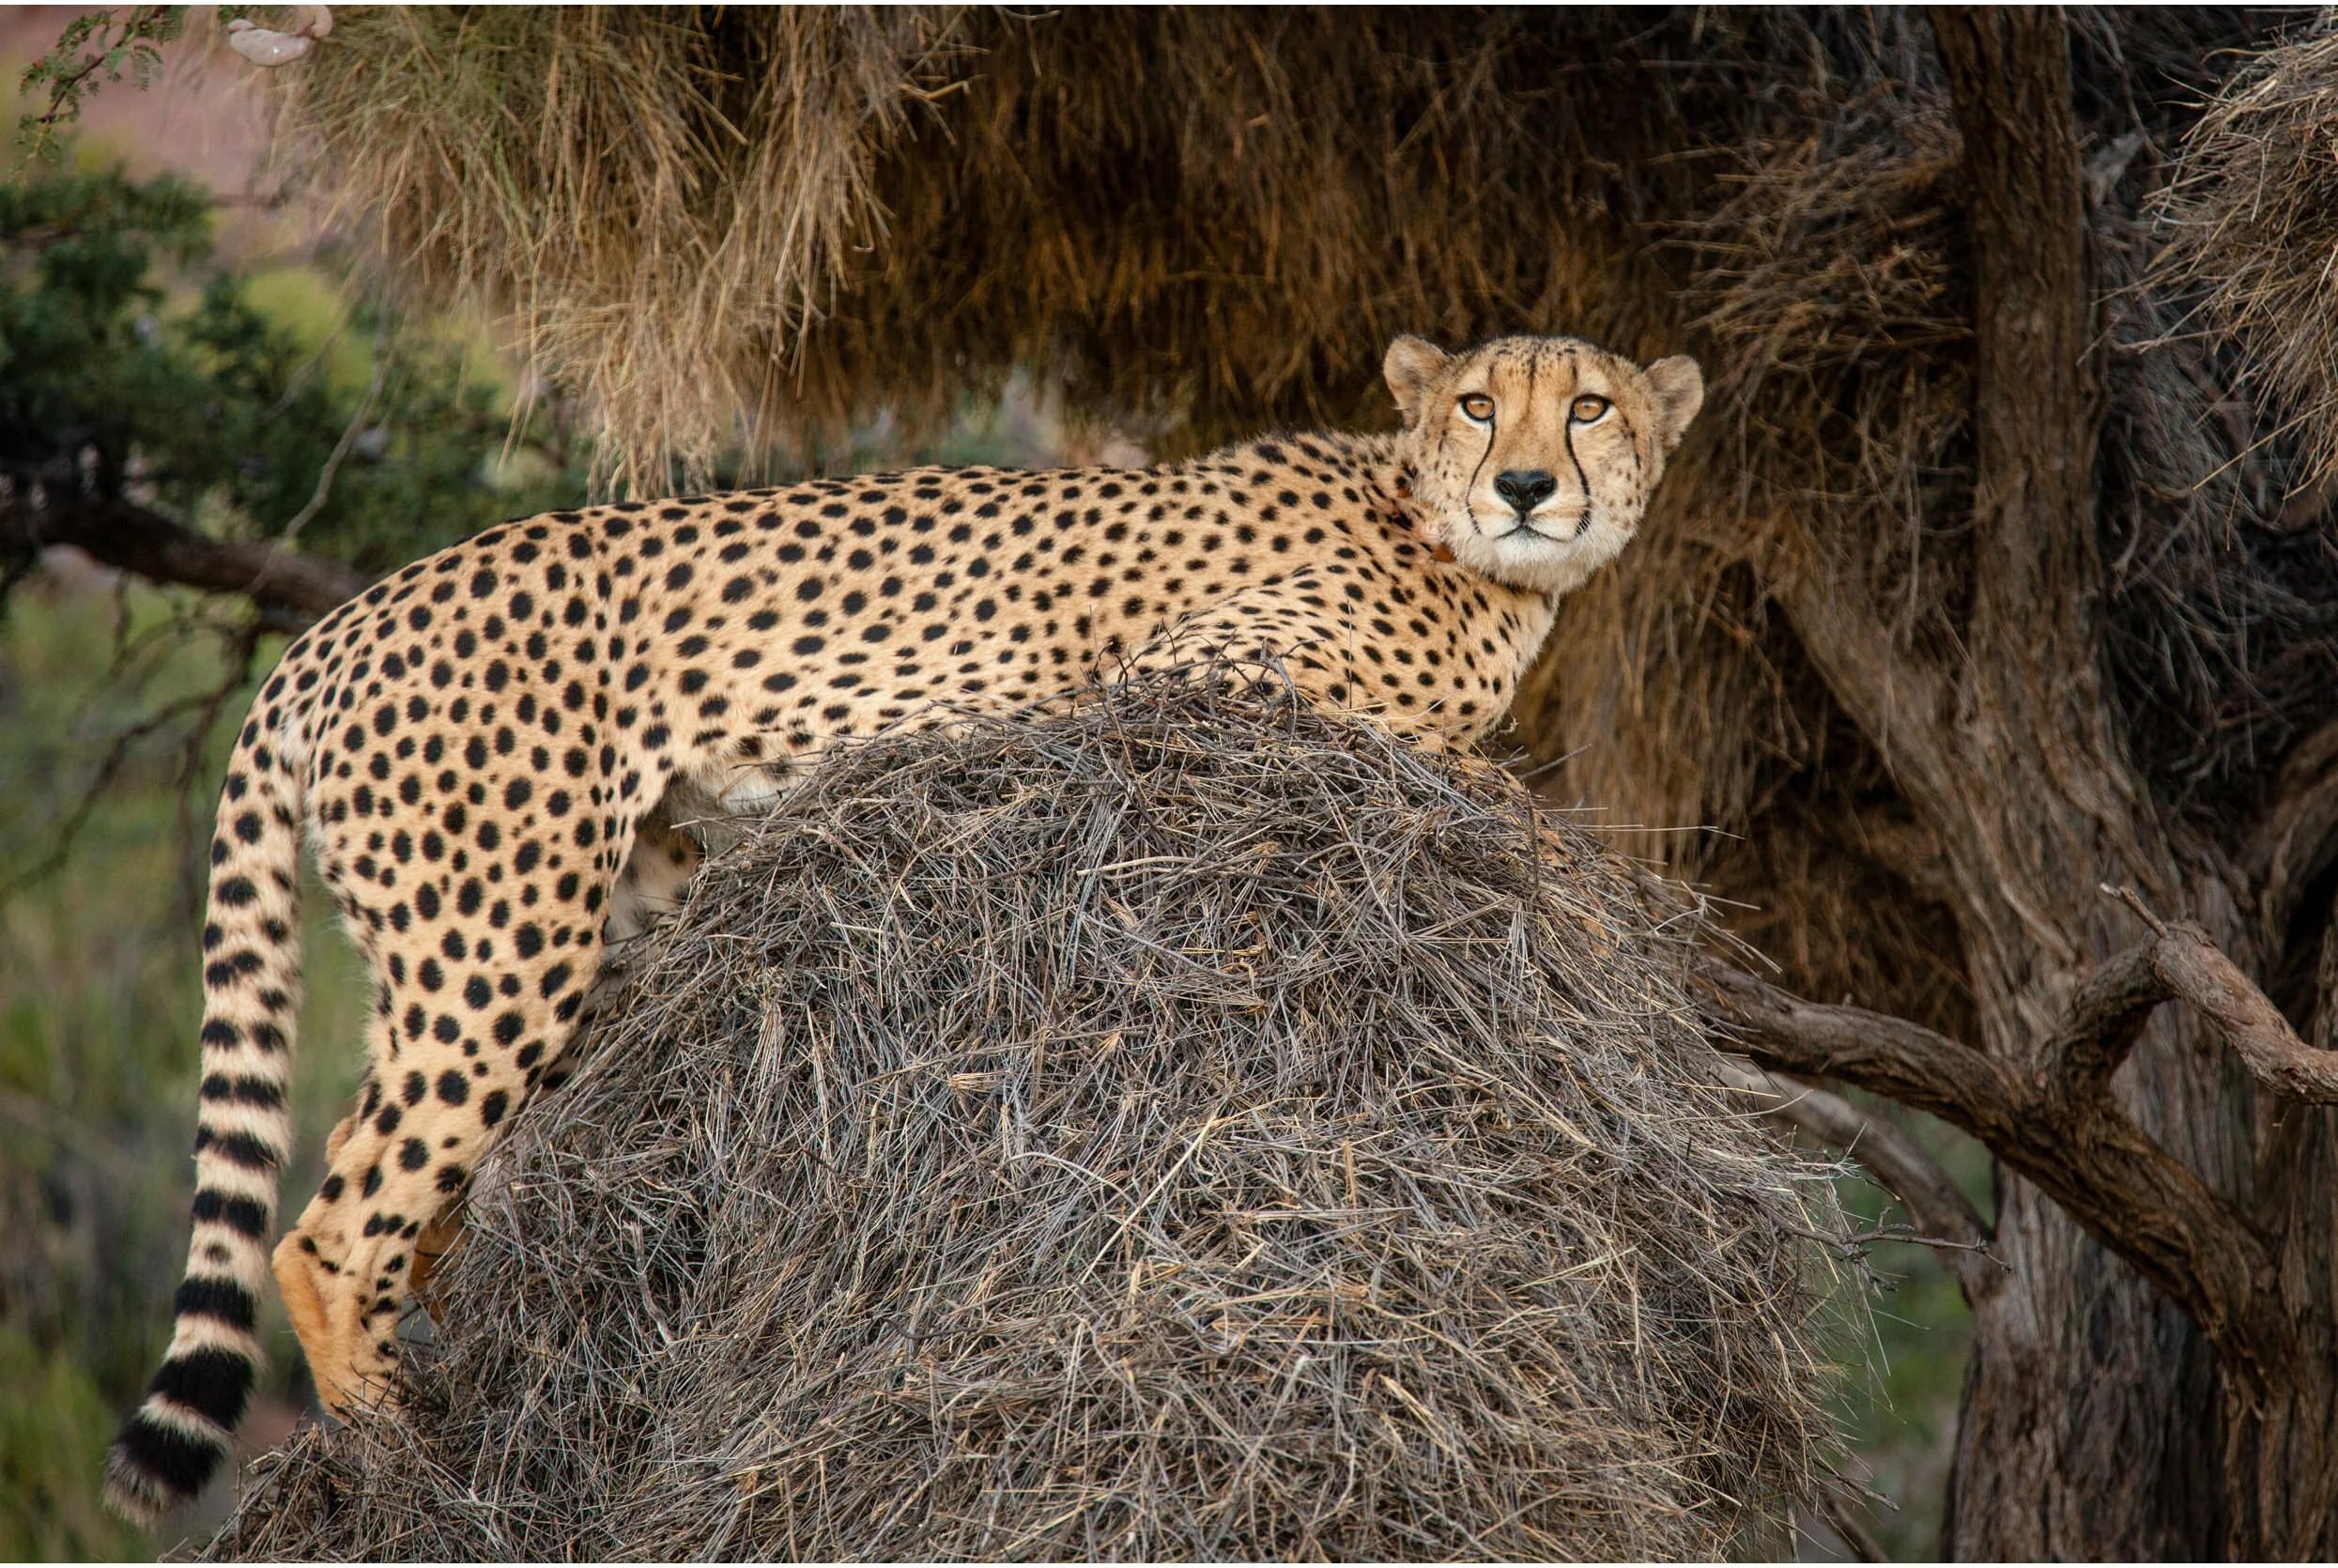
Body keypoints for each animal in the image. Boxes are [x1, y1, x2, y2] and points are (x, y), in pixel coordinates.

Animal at [104, 331, 1702, 1520]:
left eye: (1592, 403)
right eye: (1484, 401)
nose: (1525, 483)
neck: (1443, 530)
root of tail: (344, 618)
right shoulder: (1193, 672)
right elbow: (1454, 767)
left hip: (577, 919)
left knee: (413, 1191)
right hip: (502, 938)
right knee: (328, 1230)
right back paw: (406, 1465)